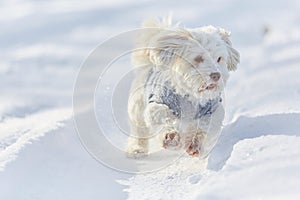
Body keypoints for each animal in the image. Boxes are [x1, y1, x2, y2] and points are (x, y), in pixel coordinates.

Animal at [126, 17, 239, 158]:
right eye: (198, 58)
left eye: (219, 58)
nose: (216, 75)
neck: (190, 95)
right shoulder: (157, 102)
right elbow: (161, 114)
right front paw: (170, 136)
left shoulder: (212, 110)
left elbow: (205, 125)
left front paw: (194, 143)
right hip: (137, 106)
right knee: (139, 131)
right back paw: (137, 149)